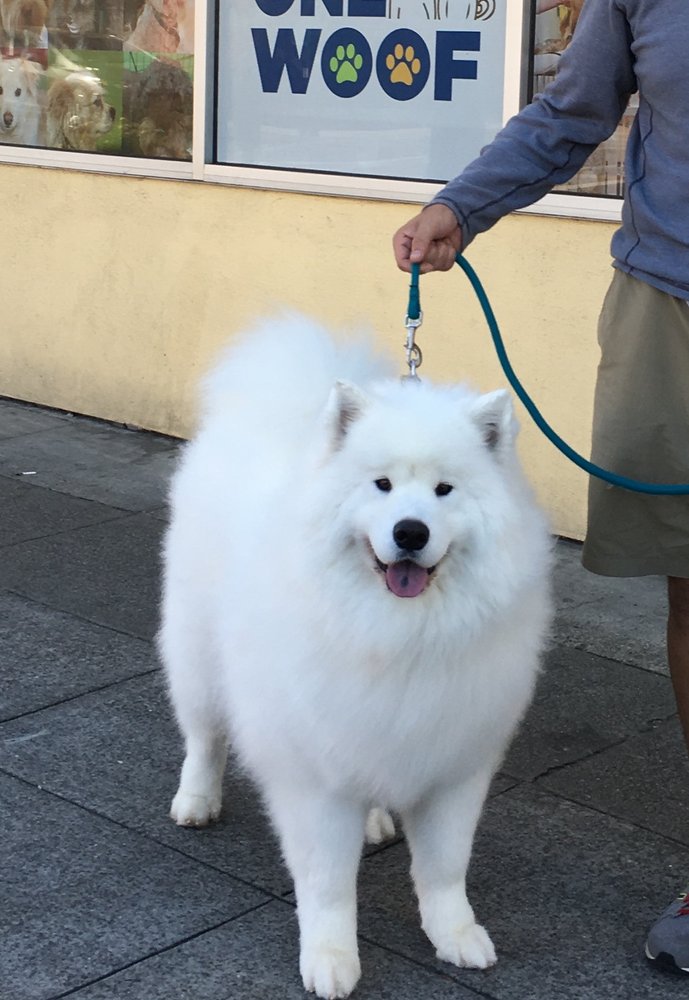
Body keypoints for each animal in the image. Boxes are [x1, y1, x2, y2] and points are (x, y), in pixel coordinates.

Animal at [159, 316, 552, 999]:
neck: (399, 635)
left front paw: (456, 935)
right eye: (383, 485)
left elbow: (445, 867)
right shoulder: (315, 774)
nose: (410, 532)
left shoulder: (452, 762)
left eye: (444, 490)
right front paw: (331, 958)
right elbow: (327, 883)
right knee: (205, 735)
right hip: (199, 657)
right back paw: (197, 801)